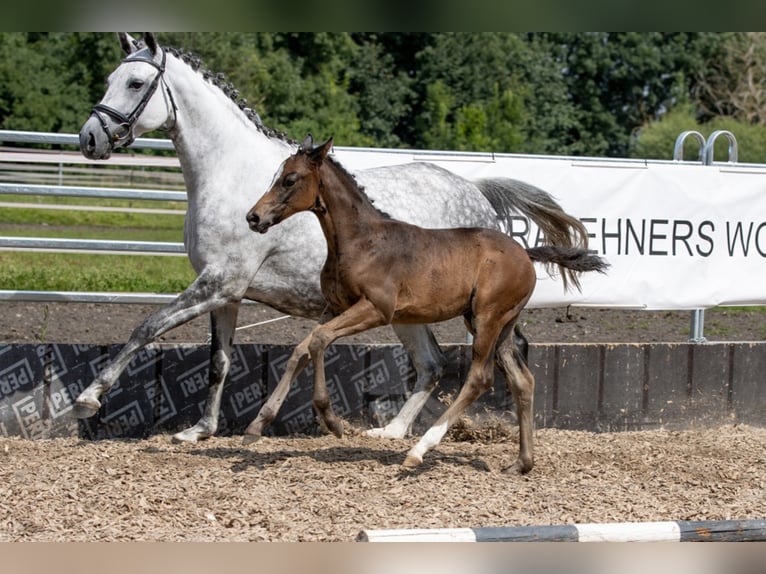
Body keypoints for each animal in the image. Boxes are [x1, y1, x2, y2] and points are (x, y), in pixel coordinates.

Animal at [75, 32, 588, 446]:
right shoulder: (226, 292)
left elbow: (148, 327)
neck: (229, 174)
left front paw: (89, 397)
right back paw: (393, 433)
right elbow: (218, 360)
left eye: (135, 83)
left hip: (459, 311)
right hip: (409, 314)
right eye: (110, 78)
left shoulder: (219, 283)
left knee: (487, 357)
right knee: (433, 363)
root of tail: (476, 193)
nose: (90, 139)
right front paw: (199, 430)